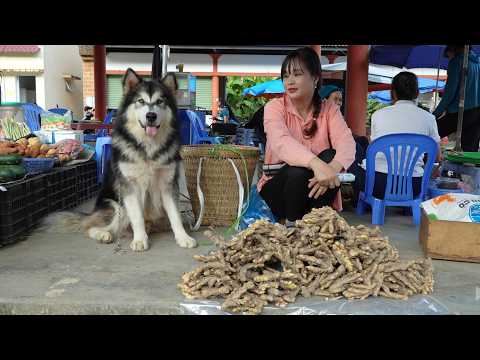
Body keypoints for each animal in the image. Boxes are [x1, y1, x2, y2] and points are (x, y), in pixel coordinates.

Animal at [46, 69, 196, 252]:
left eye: (160, 101)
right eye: (140, 101)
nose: (151, 116)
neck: (148, 147)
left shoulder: (168, 184)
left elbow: (175, 215)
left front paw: (183, 237)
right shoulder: (129, 185)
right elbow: (137, 216)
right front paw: (139, 240)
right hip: (117, 206)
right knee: (92, 227)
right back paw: (103, 234)